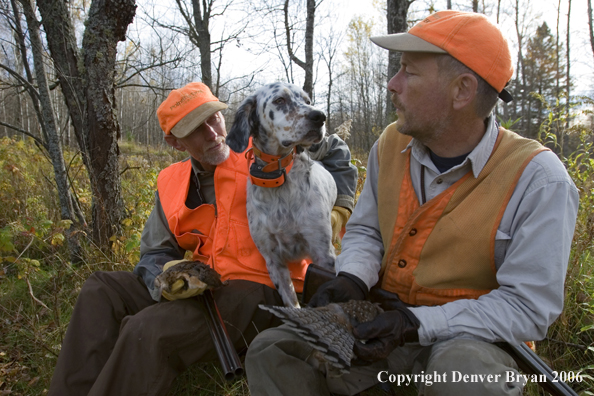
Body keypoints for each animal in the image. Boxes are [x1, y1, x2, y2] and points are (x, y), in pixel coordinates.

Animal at [227, 82, 336, 308]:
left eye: (307, 100)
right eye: (279, 100)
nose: (320, 116)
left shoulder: (323, 255)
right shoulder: (273, 260)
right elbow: (291, 303)